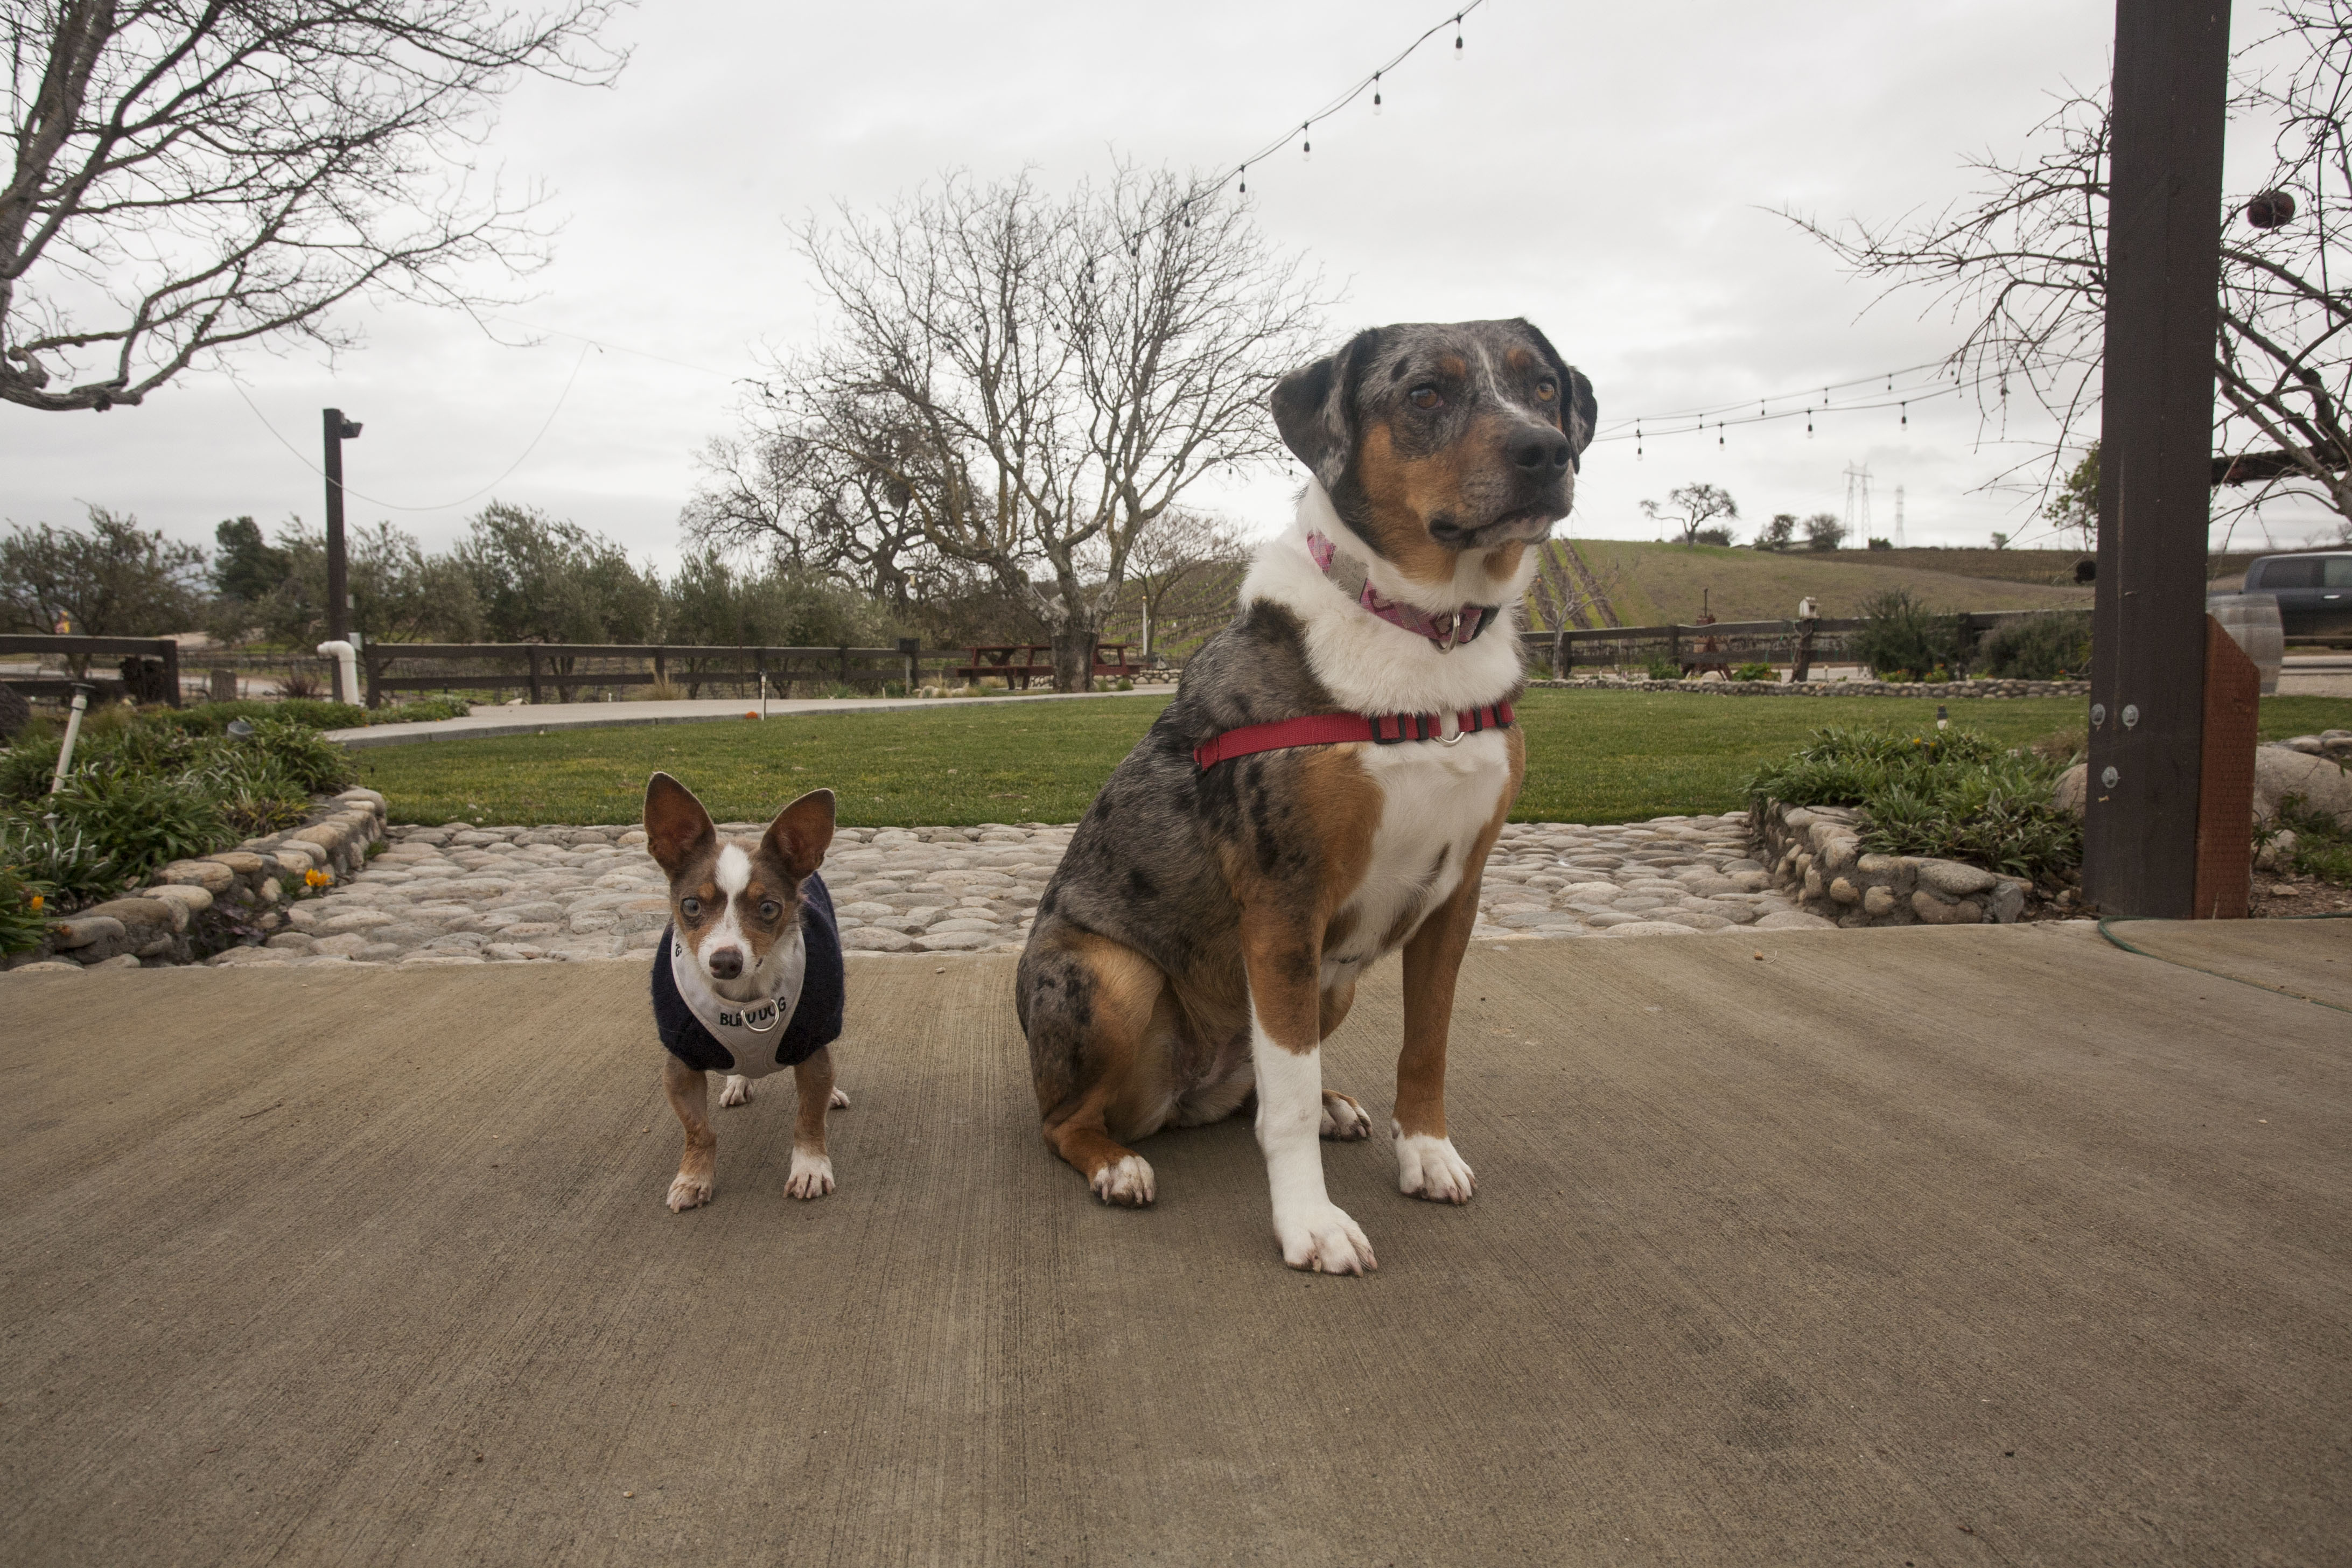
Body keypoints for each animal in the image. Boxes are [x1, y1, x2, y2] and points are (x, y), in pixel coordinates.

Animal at [644, 771, 856, 1213]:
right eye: (691, 905)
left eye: (769, 908)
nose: (726, 960)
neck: (744, 1002)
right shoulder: (680, 1067)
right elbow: (698, 1130)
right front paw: (693, 1178)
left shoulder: (812, 1048)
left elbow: (808, 1117)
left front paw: (810, 1168)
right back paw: (739, 1081)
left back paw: (831, 1094)